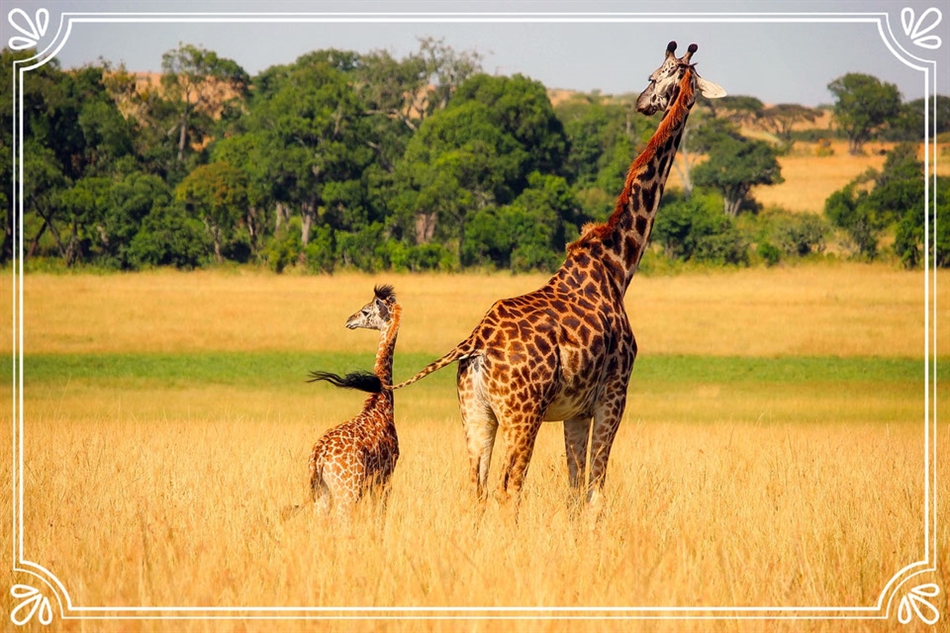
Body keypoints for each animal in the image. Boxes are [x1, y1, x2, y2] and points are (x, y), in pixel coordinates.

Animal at [293, 285, 401, 518]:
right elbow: (379, 515)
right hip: (348, 492)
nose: (349, 320)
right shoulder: (386, 475)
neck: (381, 402)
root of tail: (318, 457)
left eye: (365, 311)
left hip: (324, 493)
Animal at [386, 42, 725, 511]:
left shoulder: (575, 411)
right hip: (522, 414)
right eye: (657, 74)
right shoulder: (614, 394)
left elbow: (574, 490)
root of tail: (474, 343)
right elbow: (596, 490)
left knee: (477, 488)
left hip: (475, 413)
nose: (642, 102)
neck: (618, 265)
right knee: (509, 488)